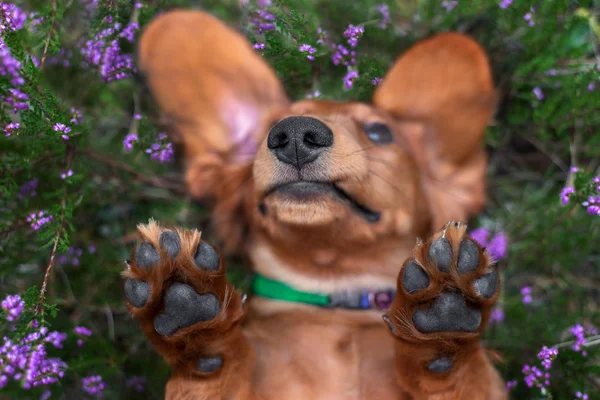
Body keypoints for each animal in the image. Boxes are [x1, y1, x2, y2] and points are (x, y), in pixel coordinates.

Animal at [124, 9, 508, 400]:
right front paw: (192, 318)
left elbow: (460, 372)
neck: (335, 303)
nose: (293, 133)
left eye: (380, 132)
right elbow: (214, 368)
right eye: (270, 126)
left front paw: (447, 319)